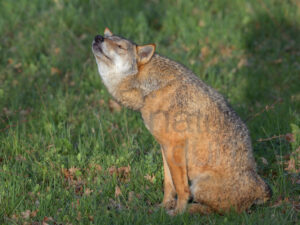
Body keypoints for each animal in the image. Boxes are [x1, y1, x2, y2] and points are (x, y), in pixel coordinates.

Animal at [91, 27, 272, 214]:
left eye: (119, 46)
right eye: (107, 38)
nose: (98, 37)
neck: (150, 89)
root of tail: (261, 188)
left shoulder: (174, 145)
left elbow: (180, 187)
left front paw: (178, 212)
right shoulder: (165, 147)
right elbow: (169, 184)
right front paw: (163, 207)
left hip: (199, 186)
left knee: (217, 210)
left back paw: (191, 210)